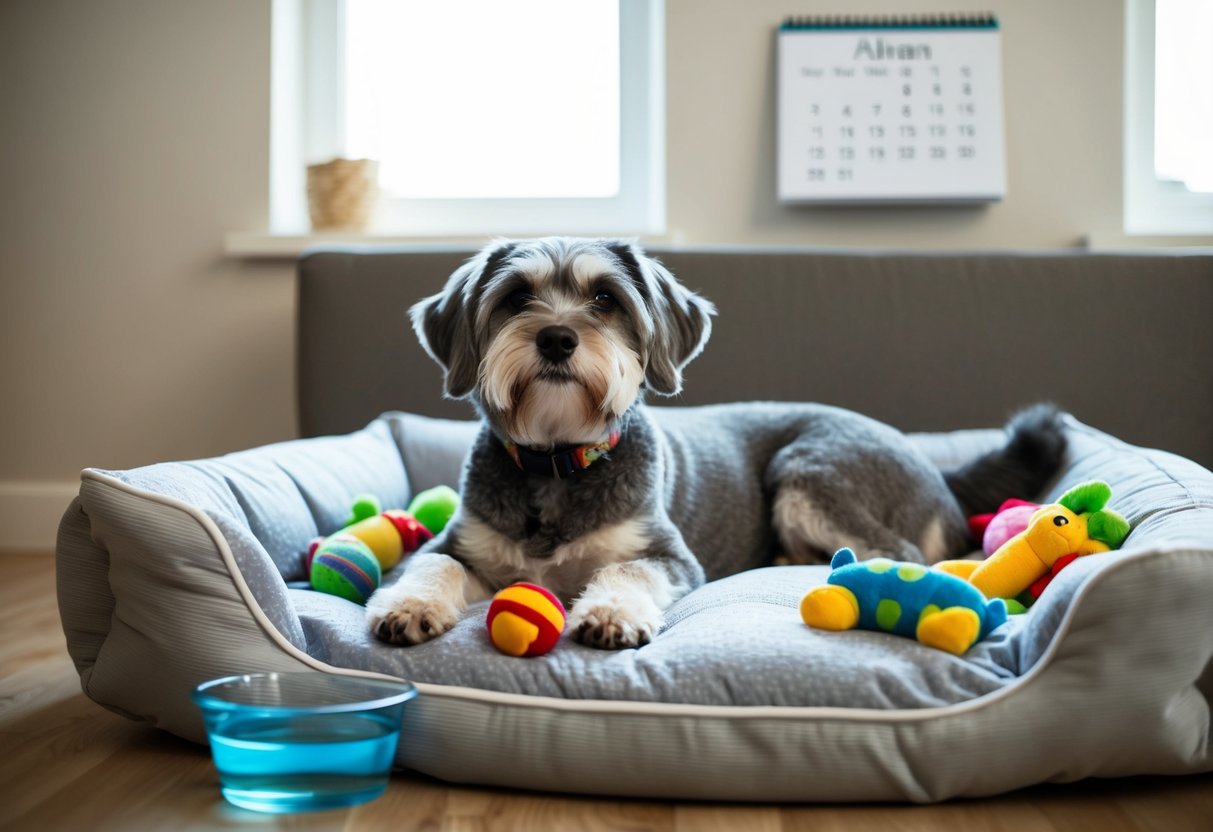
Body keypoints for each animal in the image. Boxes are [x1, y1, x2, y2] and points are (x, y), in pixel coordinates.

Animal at [363, 240, 1067, 650]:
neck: (558, 464)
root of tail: (940, 475)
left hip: (808, 467)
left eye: (605, 298)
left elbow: (625, 568)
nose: (557, 338)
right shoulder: (459, 542)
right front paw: (409, 606)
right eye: (515, 298)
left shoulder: (668, 555)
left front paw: (611, 615)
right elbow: (432, 565)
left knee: (901, 554)